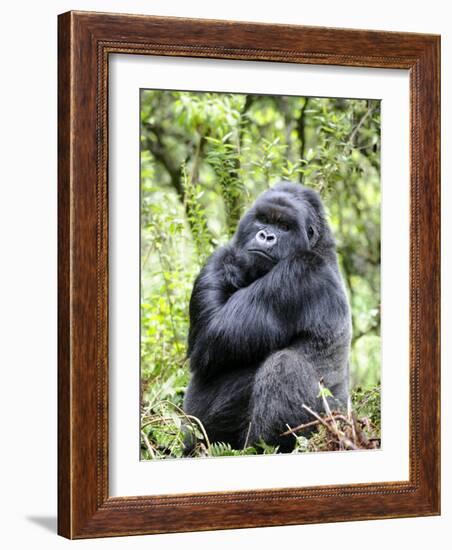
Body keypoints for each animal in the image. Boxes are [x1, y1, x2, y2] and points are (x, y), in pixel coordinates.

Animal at [182, 183, 352, 454]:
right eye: (263, 220)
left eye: (284, 226)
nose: (265, 236)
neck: (318, 246)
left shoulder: (300, 272)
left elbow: (209, 336)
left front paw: (230, 262)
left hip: (327, 427)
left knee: (284, 365)